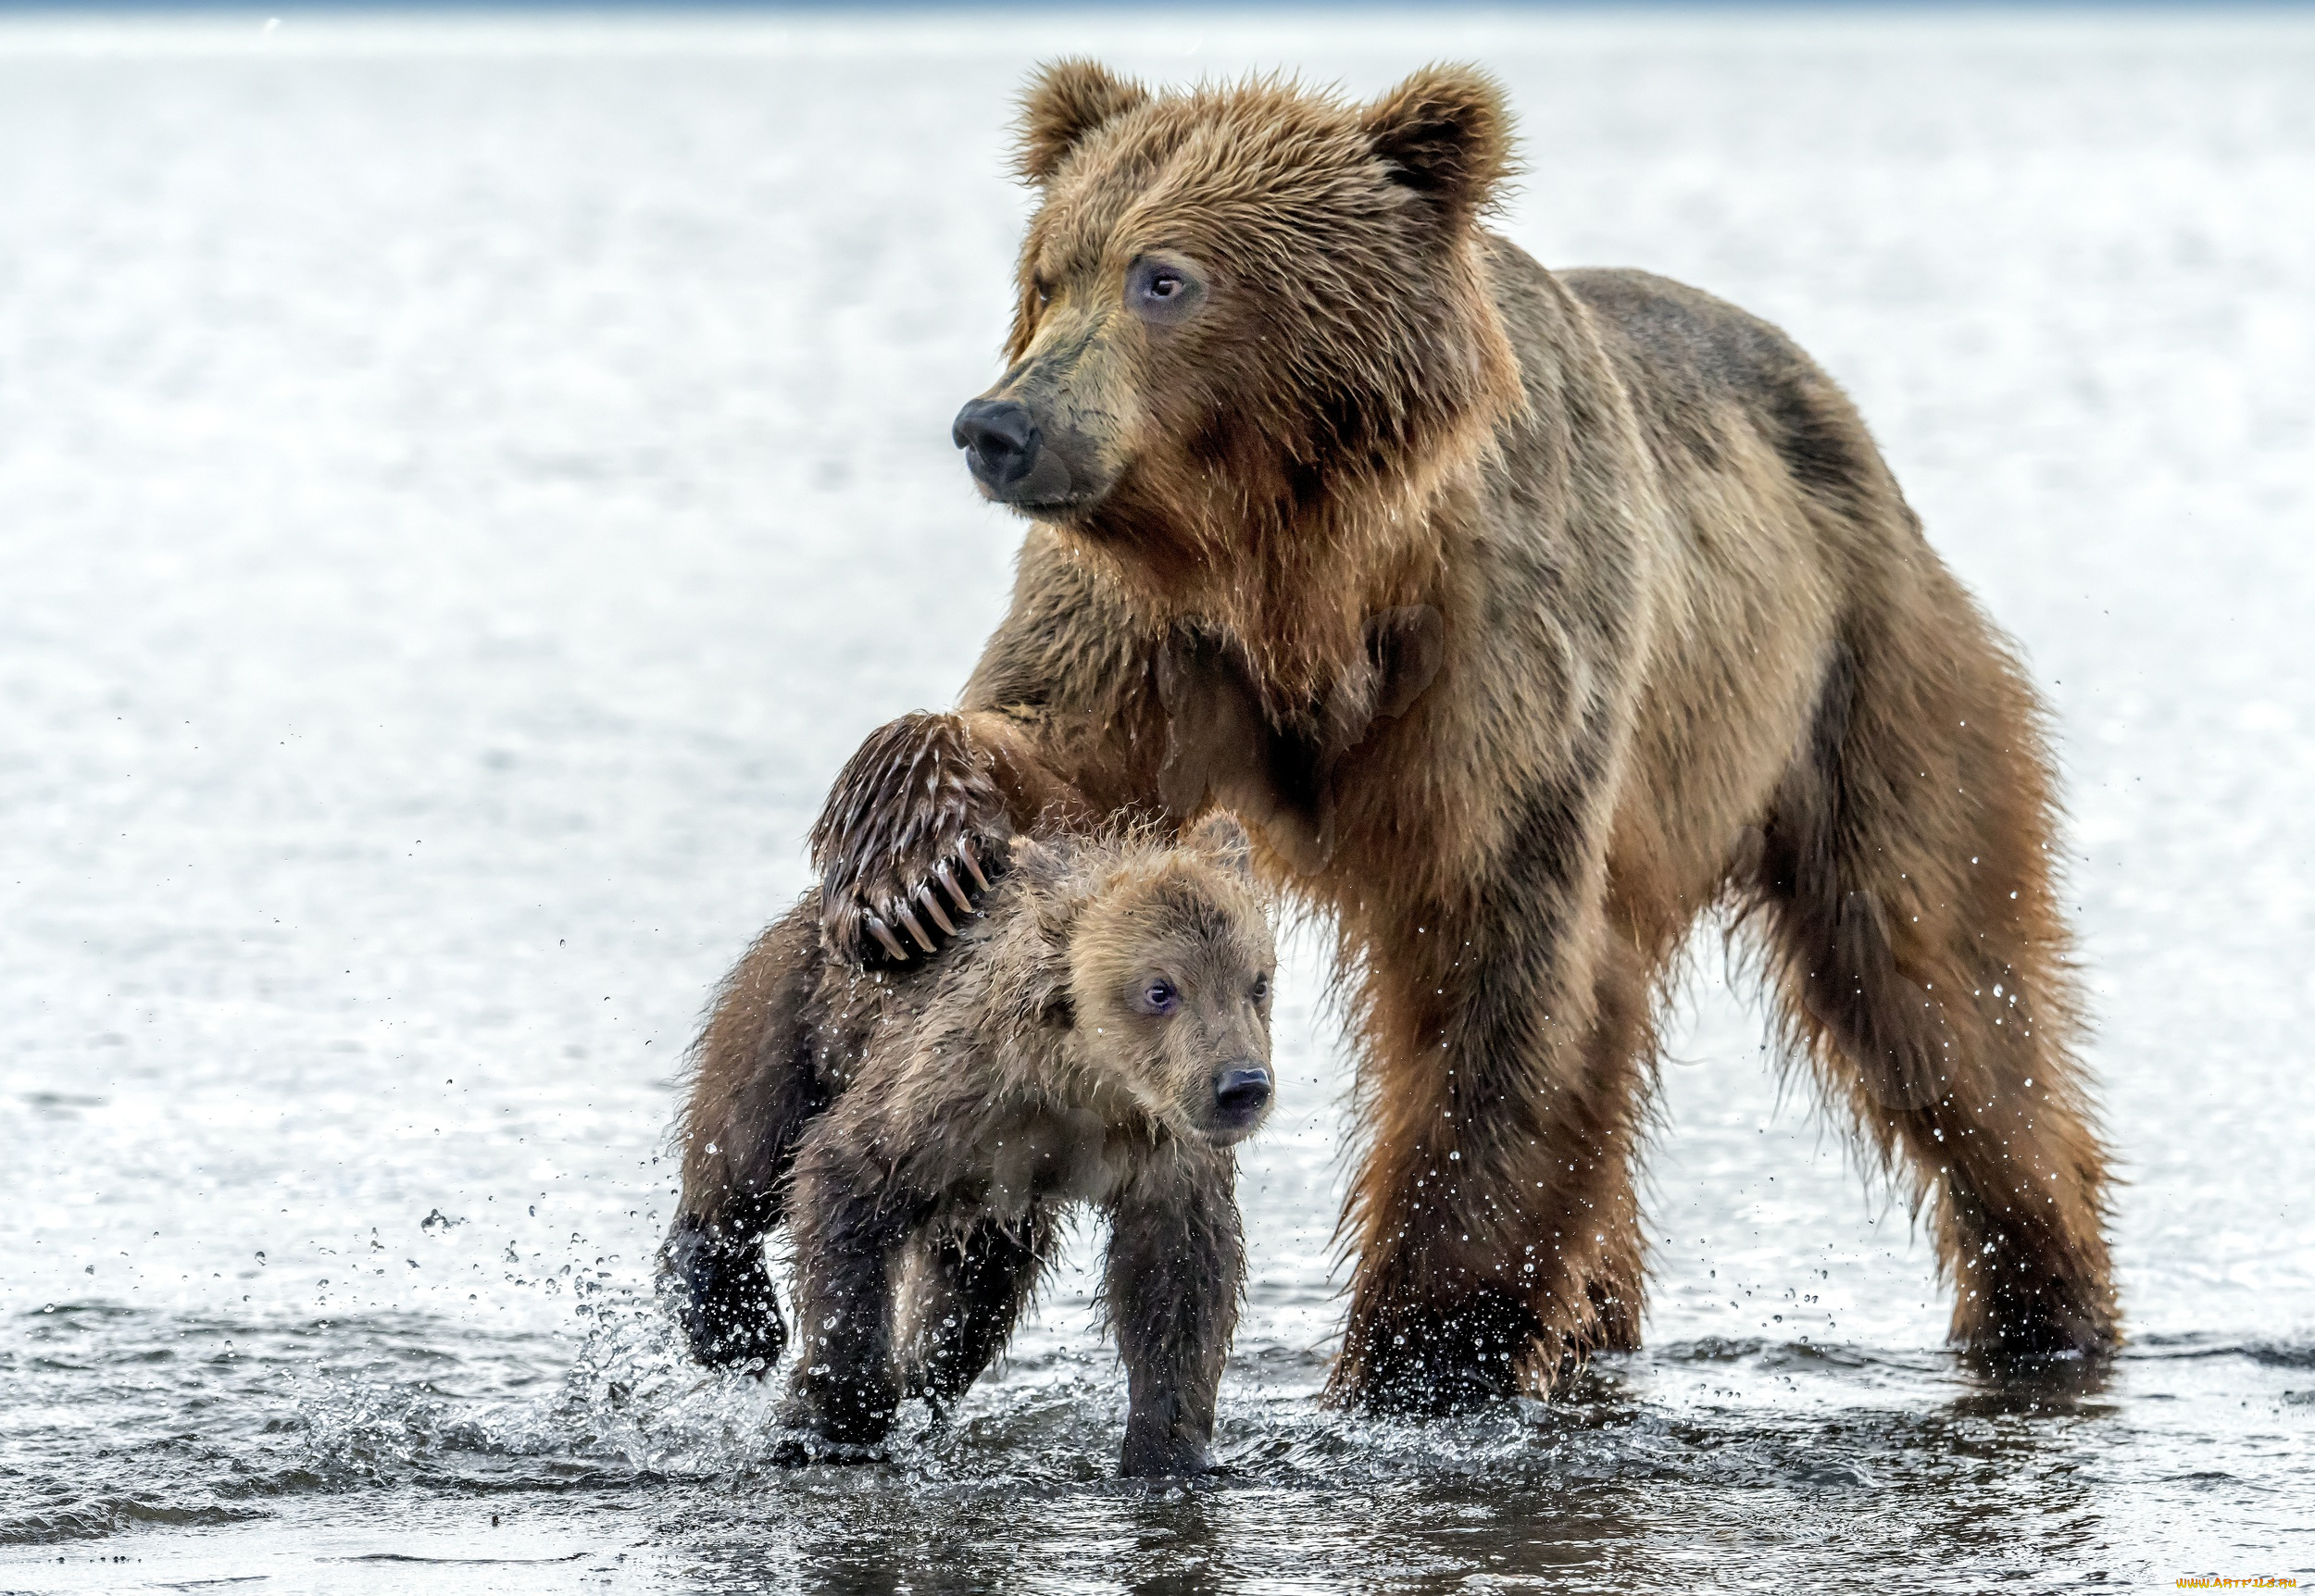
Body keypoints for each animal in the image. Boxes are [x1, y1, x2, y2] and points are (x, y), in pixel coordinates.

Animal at [663, 811, 1277, 1477]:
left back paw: (924, 1380)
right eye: (1160, 990)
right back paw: (732, 1318)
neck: (1086, 1080)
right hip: (800, 1011)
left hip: (990, 1206)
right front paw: (829, 1424)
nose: (1242, 1085)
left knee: (976, 1300)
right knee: (747, 1146)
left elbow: (1179, 1276)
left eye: (1257, 983)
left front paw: (1165, 1452)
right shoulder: (952, 1088)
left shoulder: (1162, 1148)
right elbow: (845, 1179)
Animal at [798, 61, 2119, 1413]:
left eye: (1163, 277)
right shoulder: (1148, 634)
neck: (1304, 571)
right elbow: (1053, 754)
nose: (996, 426)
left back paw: (2045, 1301)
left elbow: (1496, 975)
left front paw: (1423, 1354)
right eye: (1046, 274)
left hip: (1864, 678)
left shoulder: (1503, 655)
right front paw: (912, 860)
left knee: (1939, 980)